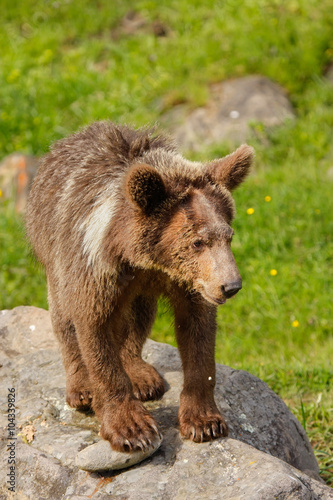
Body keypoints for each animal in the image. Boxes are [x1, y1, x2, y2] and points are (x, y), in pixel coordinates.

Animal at [26, 122, 253, 454]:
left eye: (229, 235)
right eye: (197, 242)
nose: (230, 286)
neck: (146, 260)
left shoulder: (187, 285)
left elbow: (197, 333)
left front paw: (204, 421)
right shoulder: (95, 270)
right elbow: (94, 329)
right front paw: (131, 428)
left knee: (139, 317)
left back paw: (141, 375)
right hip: (52, 251)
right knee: (63, 317)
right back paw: (82, 388)